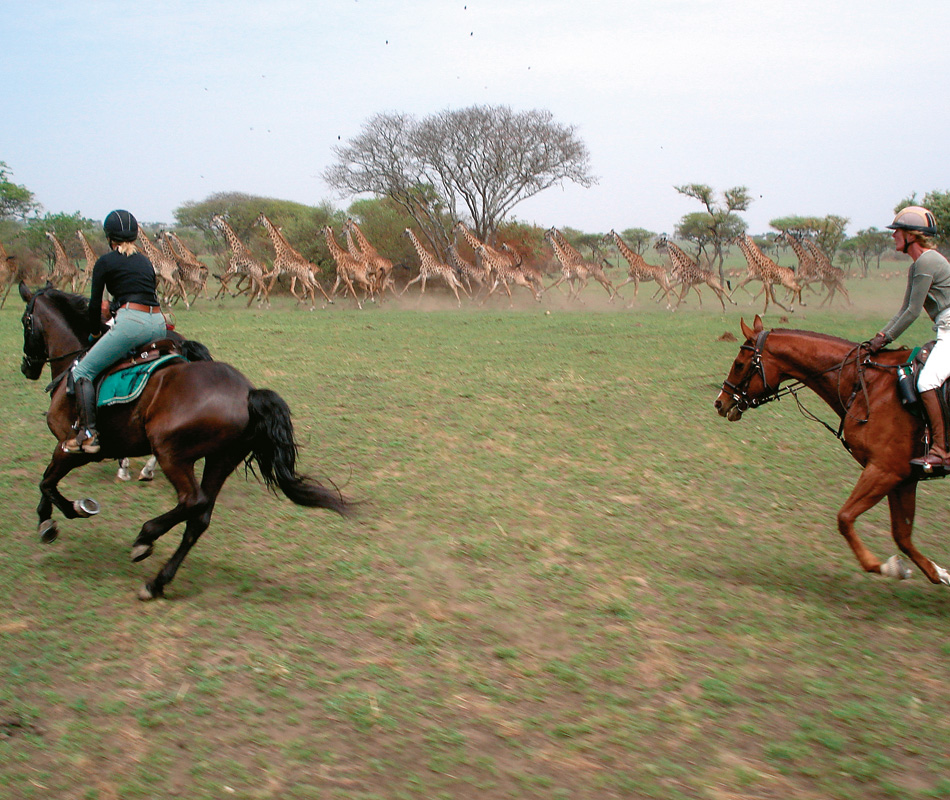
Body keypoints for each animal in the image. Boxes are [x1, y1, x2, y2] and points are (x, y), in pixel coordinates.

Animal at [17, 282, 354, 600]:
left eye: (25, 321)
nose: (26, 367)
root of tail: (248, 394)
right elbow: (48, 481)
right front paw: (51, 520)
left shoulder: (70, 447)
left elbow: (47, 483)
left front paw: (63, 515)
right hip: (220, 459)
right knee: (199, 518)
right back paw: (155, 583)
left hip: (173, 454)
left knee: (193, 501)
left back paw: (145, 538)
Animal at [712, 318, 950, 588]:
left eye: (739, 364)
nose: (720, 402)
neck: (867, 385)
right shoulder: (904, 479)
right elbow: (902, 535)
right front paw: (937, 572)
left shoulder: (884, 471)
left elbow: (845, 518)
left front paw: (882, 566)